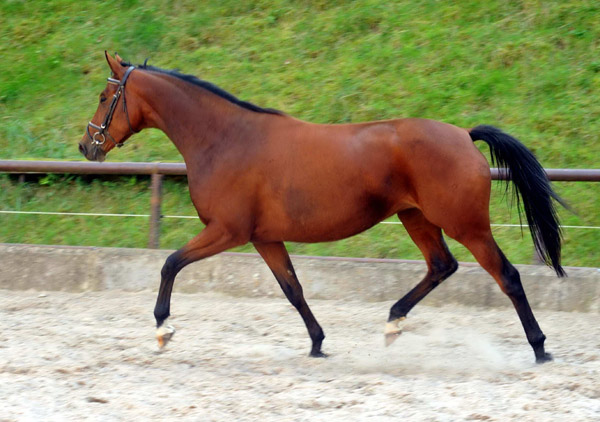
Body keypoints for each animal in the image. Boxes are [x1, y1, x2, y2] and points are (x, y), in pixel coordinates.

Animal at [81, 52, 568, 362]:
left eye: (105, 98)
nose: (87, 146)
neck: (224, 139)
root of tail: (464, 135)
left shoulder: (227, 231)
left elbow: (169, 263)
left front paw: (163, 330)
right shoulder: (264, 238)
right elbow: (293, 289)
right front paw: (317, 343)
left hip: (466, 224)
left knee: (506, 276)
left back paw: (540, 347)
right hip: (416, 218)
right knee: (441, 266)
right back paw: (392, 323)